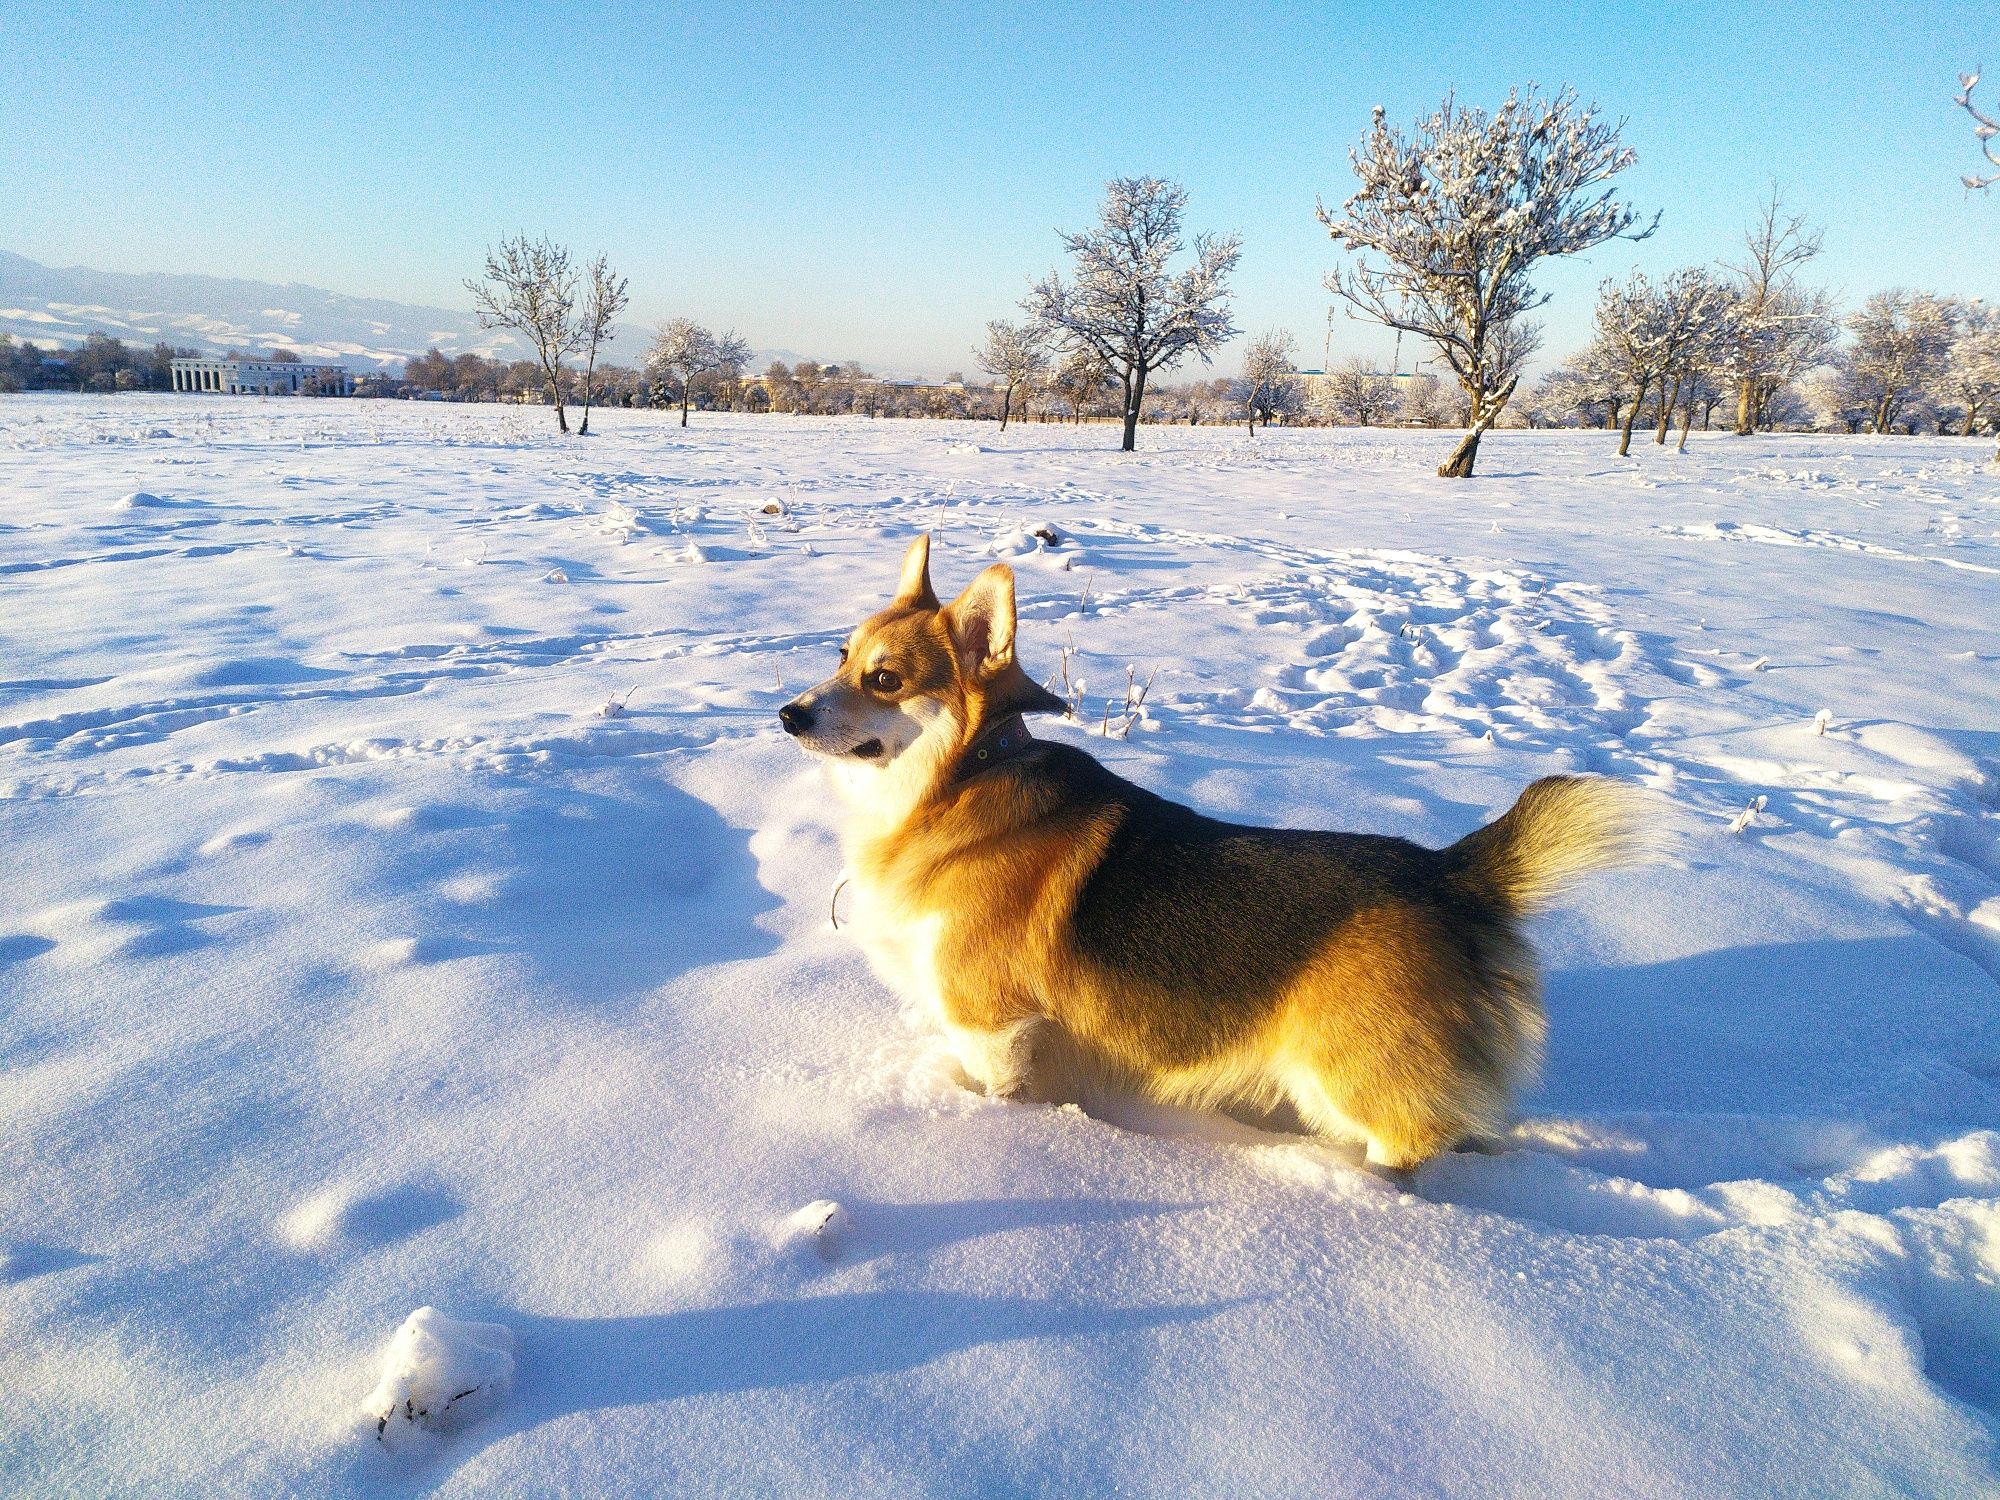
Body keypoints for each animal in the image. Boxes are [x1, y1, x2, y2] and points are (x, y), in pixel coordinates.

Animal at [776, 540, 1640, 1176]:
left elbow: (996, 1086)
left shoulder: (992, 1024)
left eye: (885, 679)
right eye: (841, 654)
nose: (787, 714)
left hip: (1344, 1077)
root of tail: (1451, 873)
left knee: (1412, 1143)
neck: (957, 782)